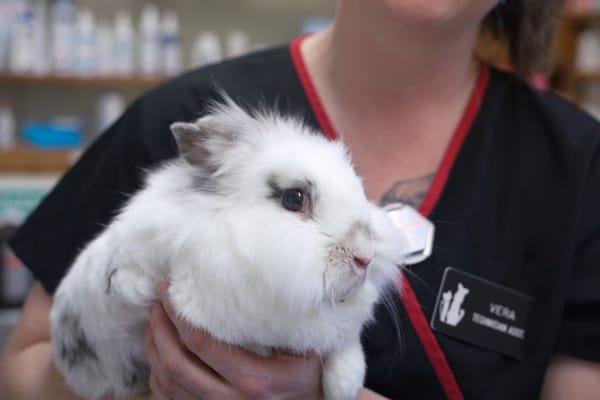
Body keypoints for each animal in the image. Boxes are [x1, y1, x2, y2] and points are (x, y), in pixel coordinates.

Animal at [49, 97, 410, 400]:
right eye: (294, 198)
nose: (365, 256)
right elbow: (125, 284)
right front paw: (139, 286)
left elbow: (345, 343)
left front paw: (345, 385)